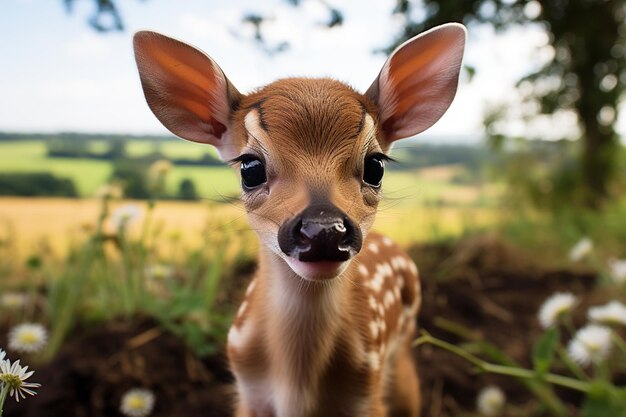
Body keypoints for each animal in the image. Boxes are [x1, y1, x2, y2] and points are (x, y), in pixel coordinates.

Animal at [132, 23, 464, 416]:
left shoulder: (366, 396)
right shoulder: (249, 395)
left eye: (376, 166)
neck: (297, 384)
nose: (324, 230)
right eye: (250, 167)